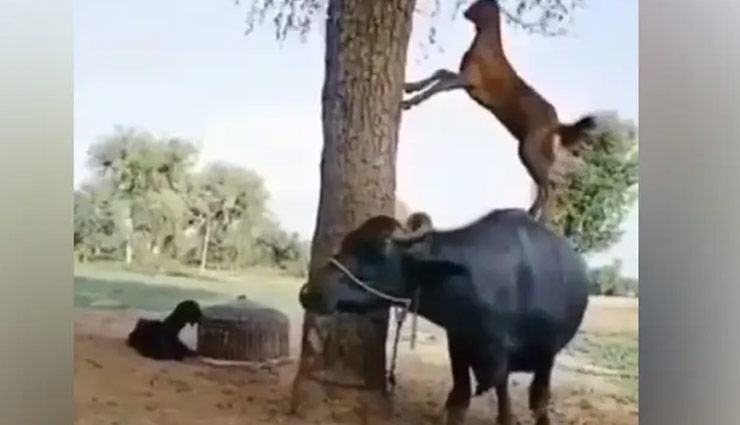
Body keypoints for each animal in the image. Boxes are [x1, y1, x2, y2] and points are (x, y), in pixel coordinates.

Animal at [402, 0, 597, 222]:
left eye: (478, 4)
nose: (465, 12)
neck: (486, 45)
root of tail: (558, 125)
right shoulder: (463, 79)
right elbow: (439, 73)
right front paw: (409, 86)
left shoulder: (468, 79)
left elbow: (438, 85)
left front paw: (408, 102)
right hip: (538, 155)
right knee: (547, 186)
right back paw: (534, 215)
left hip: (530, 151)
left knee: (548, 187)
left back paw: (537, 217)